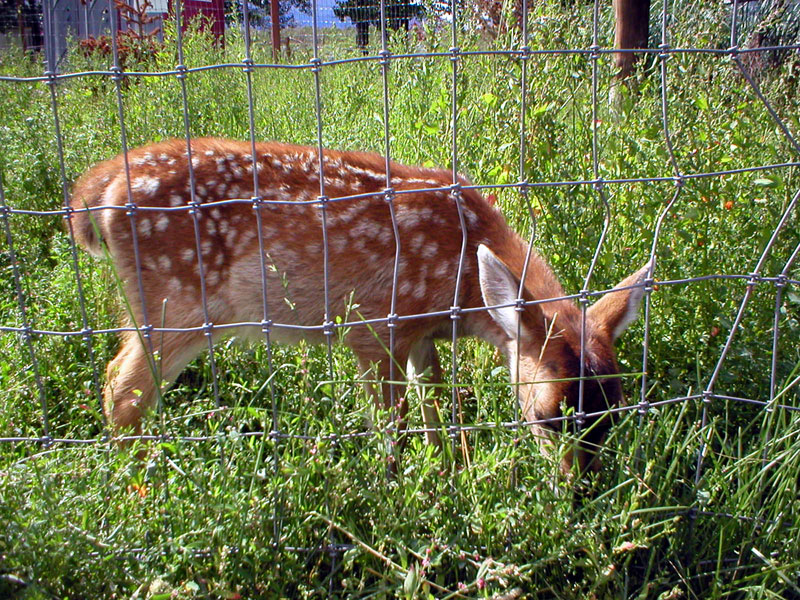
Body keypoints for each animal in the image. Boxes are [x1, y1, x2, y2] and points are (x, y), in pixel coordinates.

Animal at [69, 138, 649, 473]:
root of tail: (97, 189)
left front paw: (449, 470)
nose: (579, 496)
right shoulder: (374, 326)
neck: (463, 281)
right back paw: (144, 488)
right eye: (547, 417)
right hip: (176, 305)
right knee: (120, 389)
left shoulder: (420, 334)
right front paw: (399, 488)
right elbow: (393, 425)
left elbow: (435, 403)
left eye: (614, 416)